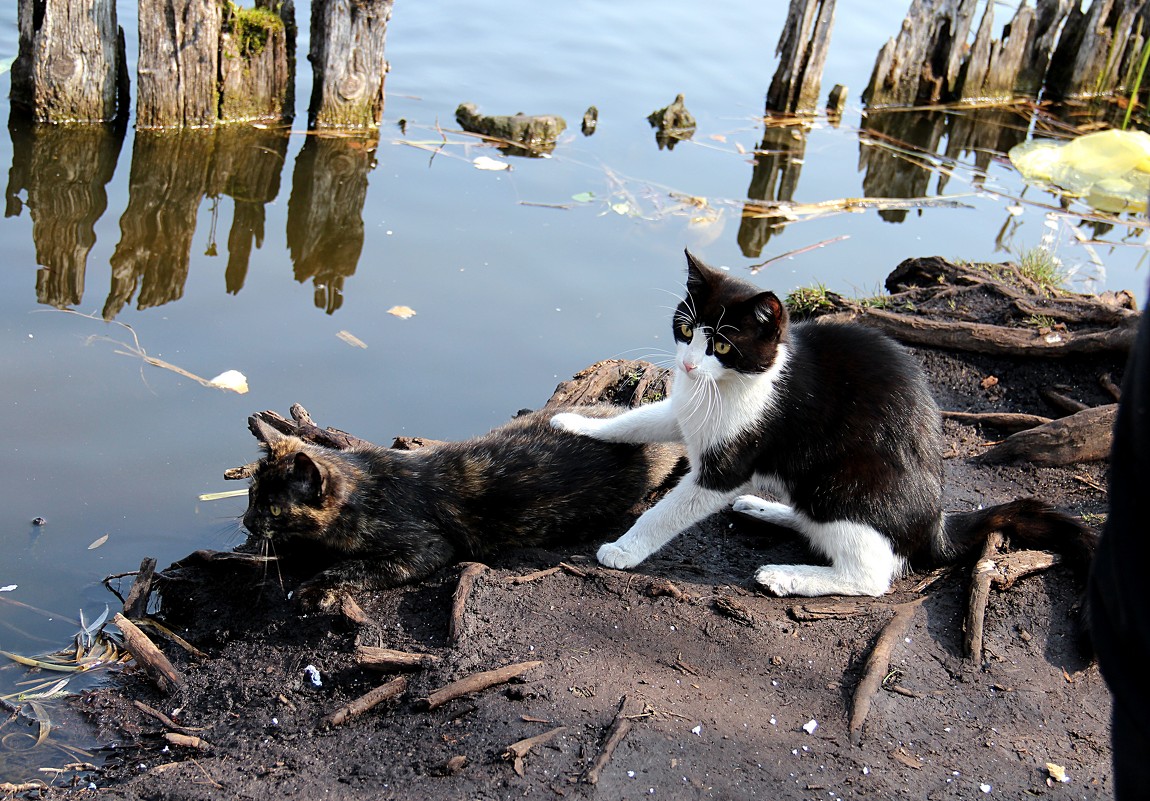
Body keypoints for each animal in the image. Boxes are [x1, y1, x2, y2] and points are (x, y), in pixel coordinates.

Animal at [238, 406, 676, 597]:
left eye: (274, 508)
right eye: (251, 495)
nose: (246, 523)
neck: (365, 490)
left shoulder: (426, 547)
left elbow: (359, 566)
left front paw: (318, 581)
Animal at [554, 252, 1094, 597]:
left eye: (723, 345)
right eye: (685, 330)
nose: (686, 365)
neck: (730, 386)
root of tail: (936, 524)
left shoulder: (728, 465)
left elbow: (666, 511)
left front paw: (624, 550)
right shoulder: (684, 409)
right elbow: (641, 420)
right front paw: (575, 422)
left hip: (842, 483)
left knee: (873, 576)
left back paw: (788, 576)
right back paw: (767, 510)